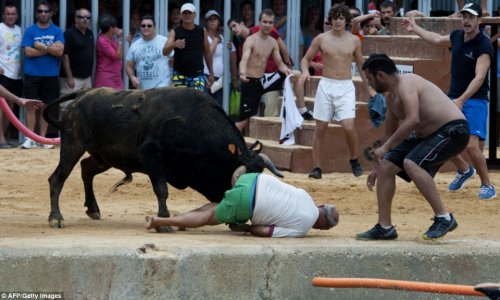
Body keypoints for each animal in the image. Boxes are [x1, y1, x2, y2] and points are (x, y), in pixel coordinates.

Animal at [43, 87, 284, 230]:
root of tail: (84, 93)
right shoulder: (151, 156)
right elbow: (161, 190)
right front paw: (164, 221)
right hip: (73, 144)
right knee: (58, 178)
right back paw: (56, 217)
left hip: (104, 156)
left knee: (86, 168)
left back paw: (93, 209)